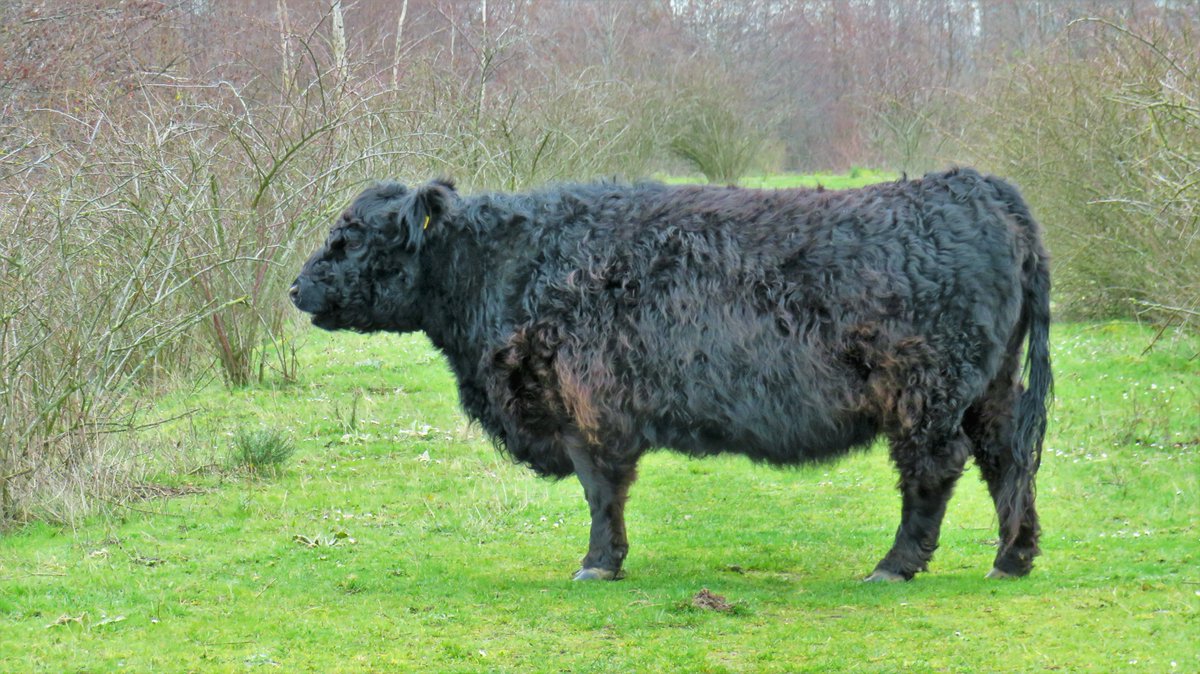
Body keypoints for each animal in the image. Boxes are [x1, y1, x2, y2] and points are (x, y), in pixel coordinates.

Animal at [290, 168, 1052, 582]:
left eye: (348, 237)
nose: (297, 288)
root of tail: (976, 186)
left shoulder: (585, 407)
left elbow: (601, 493)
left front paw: (598, 561)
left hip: (929, 391)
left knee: (934, 469)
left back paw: (895, 564)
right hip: (988, 387)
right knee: (1007, 456)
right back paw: (1012, 556)